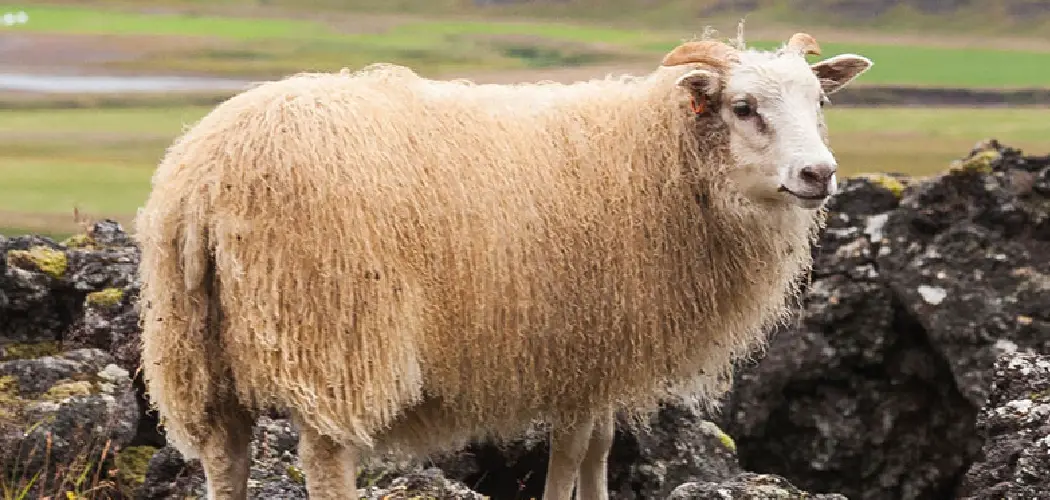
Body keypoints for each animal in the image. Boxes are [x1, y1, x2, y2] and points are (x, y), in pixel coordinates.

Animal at [134, 30, 872, 500]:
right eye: (744, 108)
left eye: (820, 103)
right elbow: (572, 451)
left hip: (194, 346)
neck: (659, 157)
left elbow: (599, 446)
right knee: (325, 460)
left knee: (225, 457)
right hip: (335, 335)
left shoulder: (602, 351)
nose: (819, 174)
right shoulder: (580, 343)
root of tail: (206, 178)